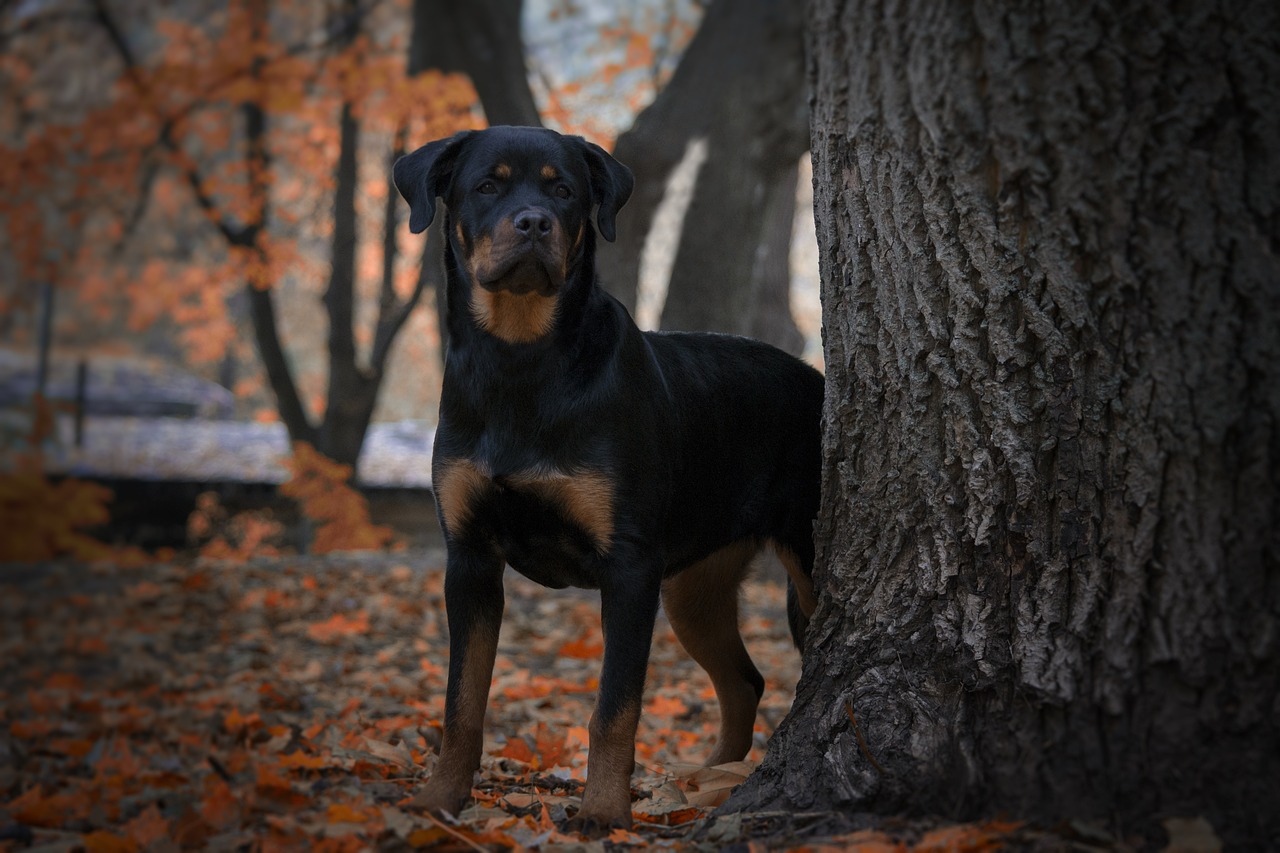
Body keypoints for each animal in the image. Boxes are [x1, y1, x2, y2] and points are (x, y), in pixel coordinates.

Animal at [394, 126, 824, 829]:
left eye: (564, 190)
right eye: (486, 185)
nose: (534, 222)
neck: (522, 360)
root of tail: (821, 384)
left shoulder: (629, 568)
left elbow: (613, 710)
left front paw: (601, 811)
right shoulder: (470, 559)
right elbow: (462, 702)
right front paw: (439, 799)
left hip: (805, 560)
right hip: (693, 588)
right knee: (744, 681)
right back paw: (708, 781)